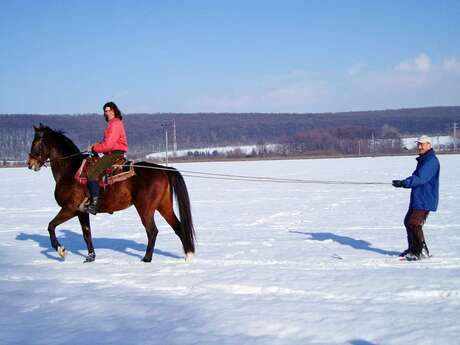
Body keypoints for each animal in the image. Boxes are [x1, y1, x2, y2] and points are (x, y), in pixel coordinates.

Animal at [26, 125, 196, 262]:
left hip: (145, 209)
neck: (70, 170)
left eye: (36, 142)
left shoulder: (70, 208)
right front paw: (90, 257)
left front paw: (61, 250)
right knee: (178, 227)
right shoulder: (82, 212)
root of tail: (162, 169)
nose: (30, 163)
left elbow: (51, 226)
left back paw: (147, 259)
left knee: (152, 231)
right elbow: (86, 234)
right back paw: (188, 256)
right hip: (164, 206)